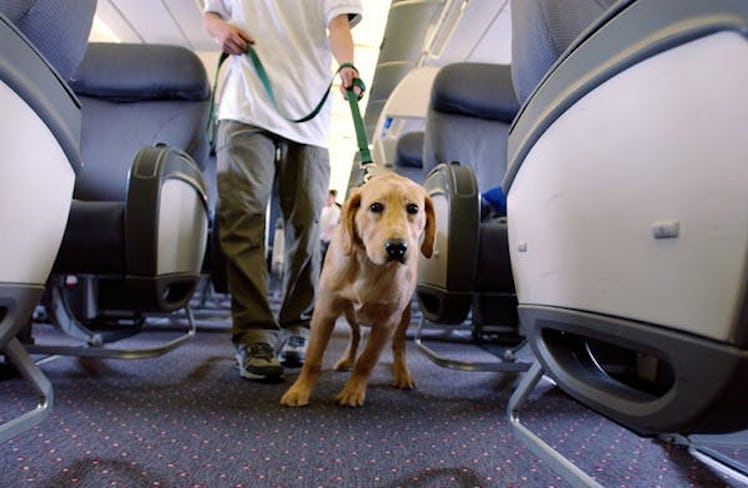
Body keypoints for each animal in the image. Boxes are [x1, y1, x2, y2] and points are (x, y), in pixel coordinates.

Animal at [280, 172, 432, 408]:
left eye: (413, 209)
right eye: (376, 206)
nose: (397, 248)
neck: (369, 265)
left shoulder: (387, 323)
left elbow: (367, 360)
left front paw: (353, 391)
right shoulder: (325, 311)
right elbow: (313, 357)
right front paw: (300, 390)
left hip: (403, 317)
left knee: (398, 346)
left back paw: (402, 373)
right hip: (349, 313)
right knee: (356, 335)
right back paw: (347, 359)